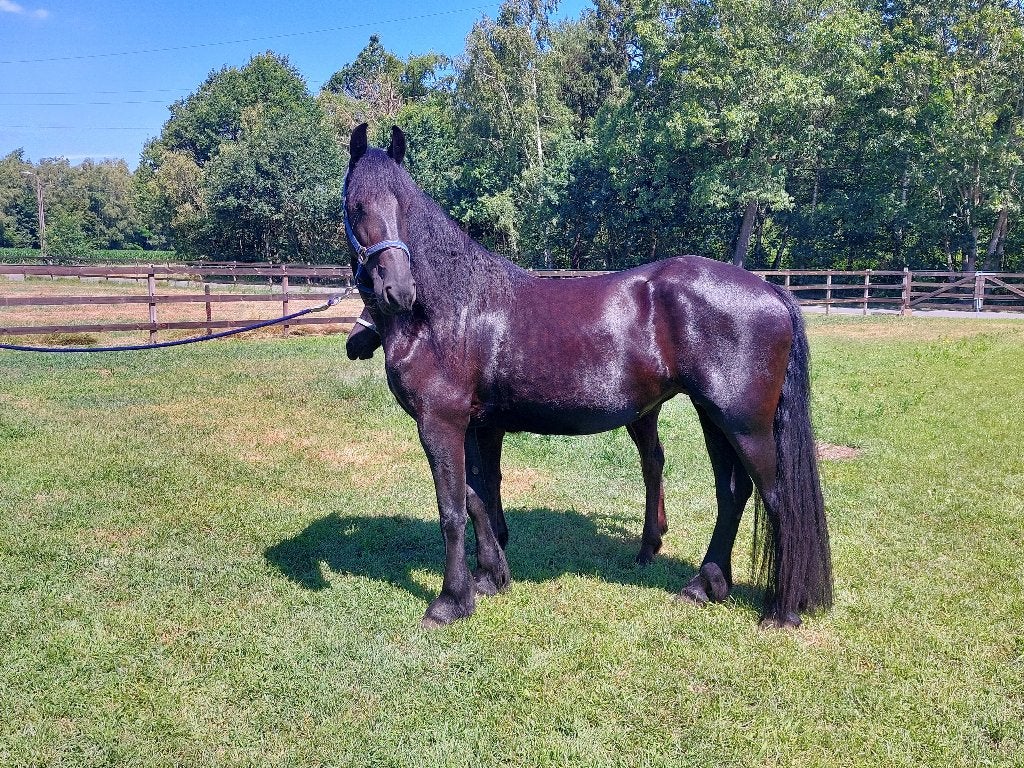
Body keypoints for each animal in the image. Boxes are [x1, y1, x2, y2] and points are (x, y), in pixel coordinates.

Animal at [343, 122, 832, 629]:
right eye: (356, 205)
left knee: (777, 499)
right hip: (713, 418)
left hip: (744, 425)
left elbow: (453, 509)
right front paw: (490, 578)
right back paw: (704, 586)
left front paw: (450, 601)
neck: (448, 311)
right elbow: (479, 498)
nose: (397, 290)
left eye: (402, 204)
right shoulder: (475, 425)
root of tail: (770, 291)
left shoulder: (440, 423)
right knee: (732, 493)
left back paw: (781, 611)